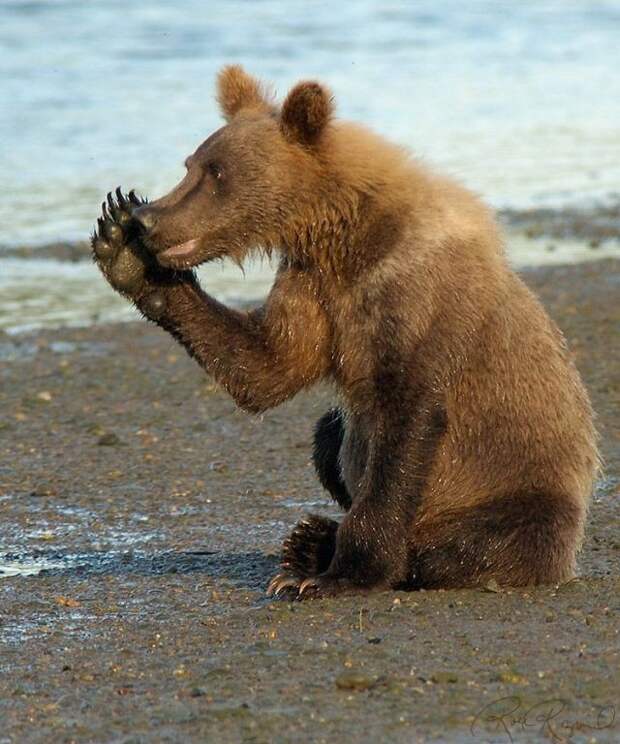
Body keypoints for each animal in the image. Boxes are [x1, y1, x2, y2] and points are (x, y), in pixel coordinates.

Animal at [92, 65, 599, 599]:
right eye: (190, 163)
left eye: (217, 173)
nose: (150, 218)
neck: (343, 234)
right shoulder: (312, 284)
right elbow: (269, 366)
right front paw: (122, 246)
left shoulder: (412, 298)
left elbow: (406, 424)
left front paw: (338, 575)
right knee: (327, 435)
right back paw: (309, 538)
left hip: (519, 489)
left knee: (474, 543)